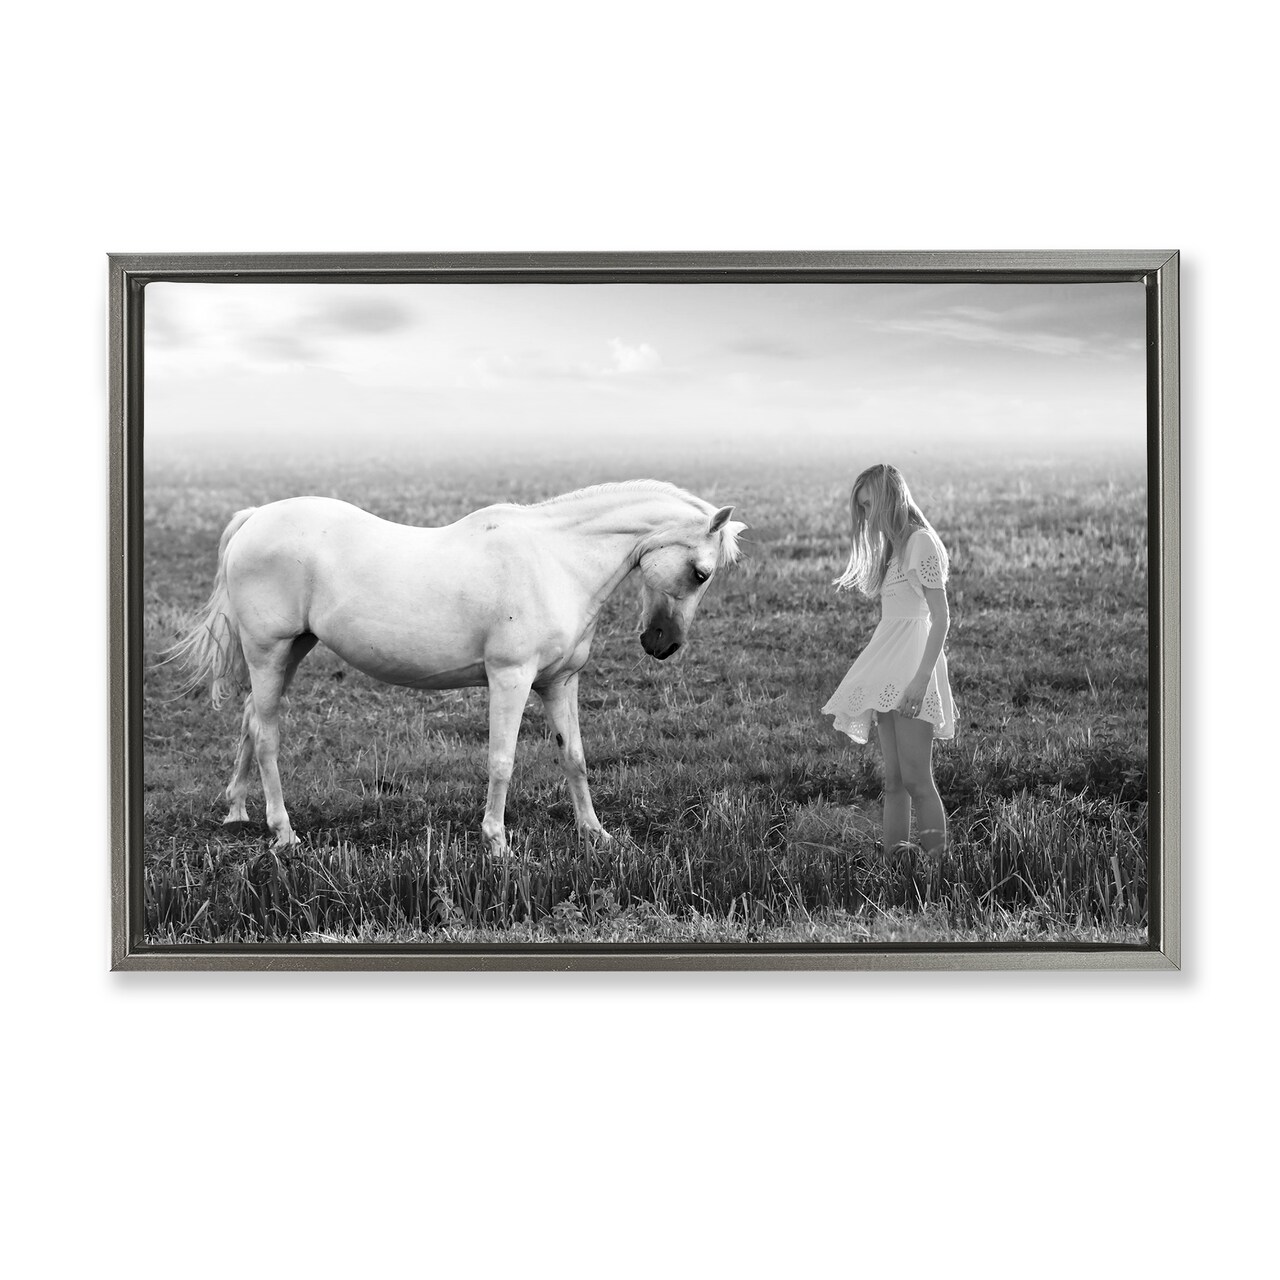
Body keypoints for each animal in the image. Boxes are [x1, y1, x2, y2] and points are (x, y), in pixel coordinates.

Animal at [169, 480, 745, 854]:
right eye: (700, 572)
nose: (662, 644)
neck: (556, 560)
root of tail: (255, 517)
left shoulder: (559, 683)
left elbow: (575, 757)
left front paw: (595, 834)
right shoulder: (510, 678)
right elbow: (502, 761)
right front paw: (497, 843)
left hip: (292, 650)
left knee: (251, 718)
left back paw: (237, 811)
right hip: (268, 651)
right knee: (266, 734)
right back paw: (283, 832)